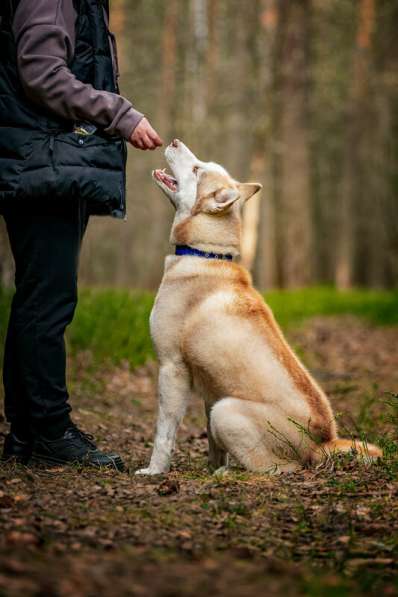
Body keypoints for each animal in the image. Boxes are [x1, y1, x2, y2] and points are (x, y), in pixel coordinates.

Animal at [135, 140, 380, 474]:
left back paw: (229, 476)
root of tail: (323, 441)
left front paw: (155, 471)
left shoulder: (172, 367)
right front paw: (212, 467)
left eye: (197, 169)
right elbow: (214, 445)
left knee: (278, 468)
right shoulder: (212, 390)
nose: (173, 141)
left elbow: (164, 433)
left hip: (227, 411)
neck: (204, 253)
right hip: (221, 405)